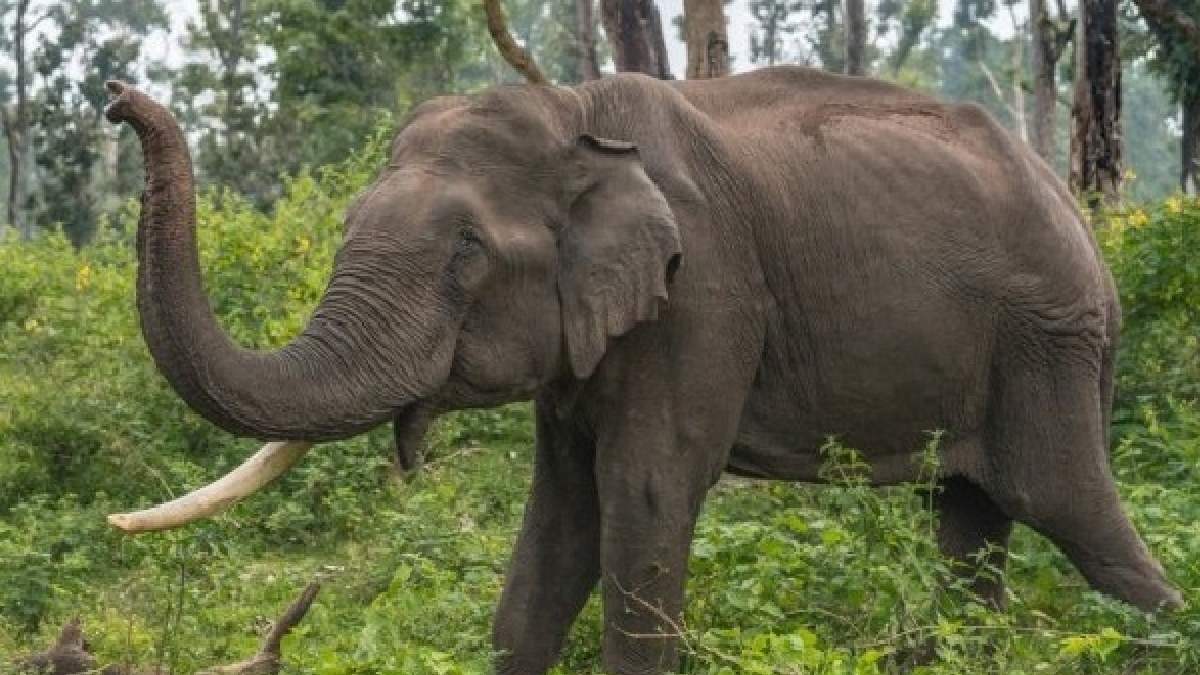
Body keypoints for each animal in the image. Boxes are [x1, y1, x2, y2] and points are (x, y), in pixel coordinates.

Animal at [103, 65, 1181, 675]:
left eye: (466, 254)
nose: (116, 98)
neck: (573, 115)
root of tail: (1084, 219)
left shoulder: (701, 297)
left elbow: (644, 496)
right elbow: (561, 519)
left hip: (1050, 341)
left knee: (1067, 509)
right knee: (971, 525)